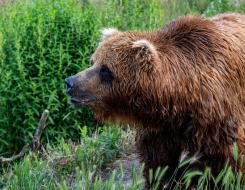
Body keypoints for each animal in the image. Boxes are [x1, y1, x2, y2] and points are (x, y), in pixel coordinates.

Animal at [64, 13, 245, 189]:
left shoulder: (216, 114)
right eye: (93, 61)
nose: (70, 82)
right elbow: (158, 161)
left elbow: (230, 157)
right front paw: (163, 181)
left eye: (105, 70)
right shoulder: (160, 128)